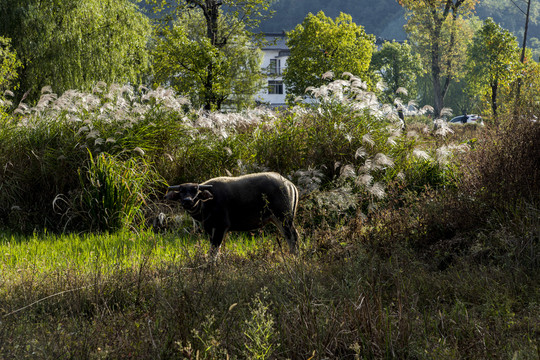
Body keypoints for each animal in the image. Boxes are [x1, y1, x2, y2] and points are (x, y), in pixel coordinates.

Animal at [165, 172, 300, 256]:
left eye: (196, 191)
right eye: (181, 191)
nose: (188, 201)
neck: (207, 204)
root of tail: (290, 184)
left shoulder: (221, 227)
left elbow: (214, 251)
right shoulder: (210, 229)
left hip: (284, 218)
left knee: (293, 236)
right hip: (278, 219)